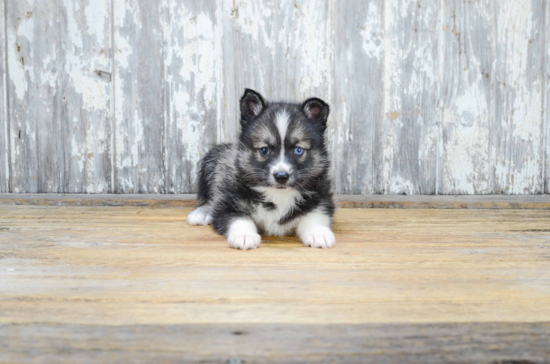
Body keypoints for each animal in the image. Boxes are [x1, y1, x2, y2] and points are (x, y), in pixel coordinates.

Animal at [189, 89, 336, 252]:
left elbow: (315, 216)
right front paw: (244, 235)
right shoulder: (228, 202)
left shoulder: (321, 198)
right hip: (212, 162)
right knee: (209, 197)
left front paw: (319, 233)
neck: (279, 195)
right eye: (264, 150)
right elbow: (239, 218)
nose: (281, 176)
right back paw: (202, 212)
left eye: (298, 150)